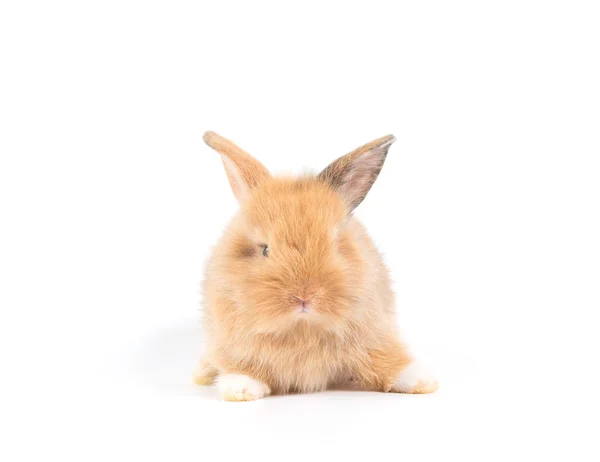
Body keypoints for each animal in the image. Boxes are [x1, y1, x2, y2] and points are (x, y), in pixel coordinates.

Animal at [195, 131, 438, 400]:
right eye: (265, 249)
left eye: (335, 244)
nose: (304, 296)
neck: (302, 328)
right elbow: (240, 367)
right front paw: (239, 388)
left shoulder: (376, 336)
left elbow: (388, 360)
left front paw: (422, 381)